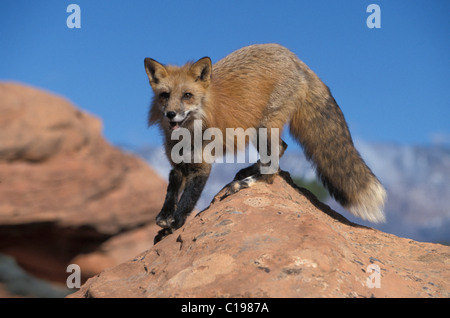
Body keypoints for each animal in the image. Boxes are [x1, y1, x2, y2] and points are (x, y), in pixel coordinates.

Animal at [145, 43, 386, 230]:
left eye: (187, 95)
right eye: (165, 95)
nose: (170, 114)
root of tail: (293, 57)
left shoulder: (201, 166)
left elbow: (187, 200)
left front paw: (175, 224)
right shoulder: (177, 164)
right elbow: (172, 189)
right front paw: (164, 217)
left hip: (263, 127)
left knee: (274, 168)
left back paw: (246, 181)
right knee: (281, 149)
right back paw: (250, 170)